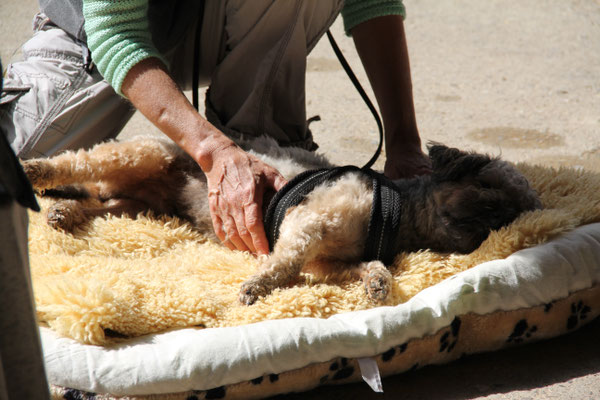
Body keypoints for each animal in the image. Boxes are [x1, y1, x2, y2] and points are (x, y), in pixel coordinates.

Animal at [21, 136, 540, 304]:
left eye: (514, 212)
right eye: (489, 190)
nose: (492, 225)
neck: (395, 213)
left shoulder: (329, 262)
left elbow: (365, 266)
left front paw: (377, 282)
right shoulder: (306, 224)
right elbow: (284, 263)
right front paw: (257, 285)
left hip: (143, 206)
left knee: (102, 204)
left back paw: (64, 213)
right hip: (142, 153)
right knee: (77, 162)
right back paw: (35, 170)